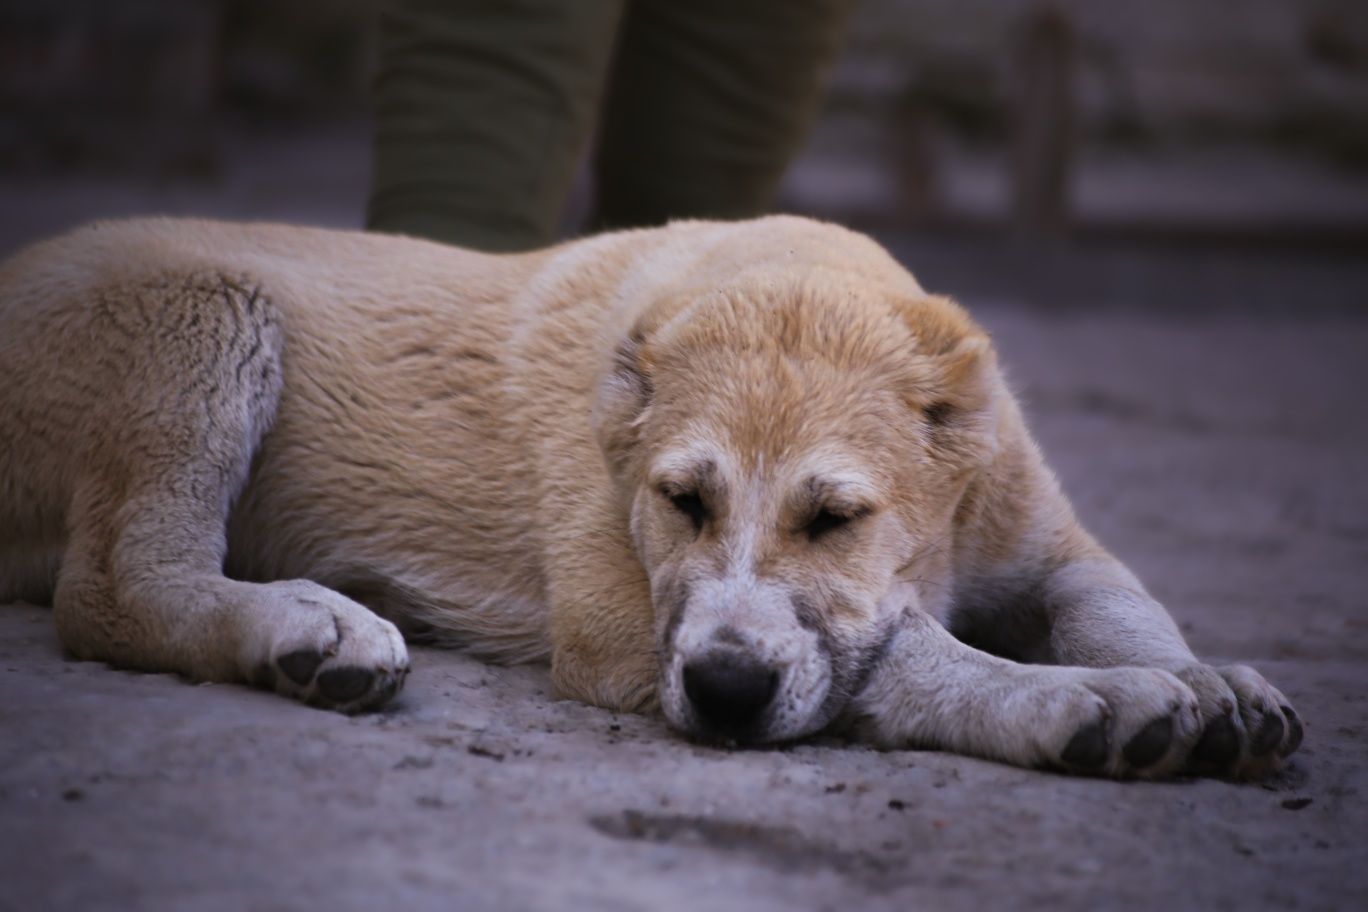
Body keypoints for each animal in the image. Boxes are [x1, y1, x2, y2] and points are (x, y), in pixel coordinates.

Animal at [0, 216, 1302, 776]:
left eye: (837, 519)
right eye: (682, 502)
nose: (724, 696)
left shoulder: (1047, 538)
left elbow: (1119, 599)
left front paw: (1210, 679)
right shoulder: (620, 626)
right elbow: (904, 655)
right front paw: (1088, 700)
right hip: (198, 317)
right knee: (112, 588)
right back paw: (305, 627)